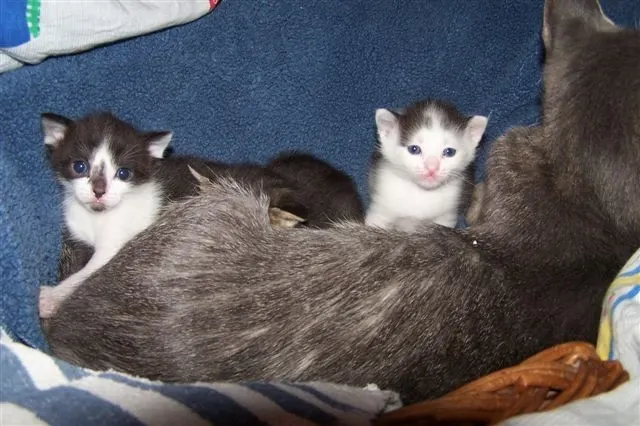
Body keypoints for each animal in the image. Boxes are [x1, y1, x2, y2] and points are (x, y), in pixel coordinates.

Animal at [42, 112, 364, 315]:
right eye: (80, 166)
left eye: (123, 173)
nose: (98, 191)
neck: (97, 217)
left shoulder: (118, 242)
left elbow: (91, 270)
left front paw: (51, 297)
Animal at [365, 100, 487, 230]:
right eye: (414, 149)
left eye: (449, 152)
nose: (432, 168)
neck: (422, 193)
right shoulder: (380, 208)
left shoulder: (446, 217)